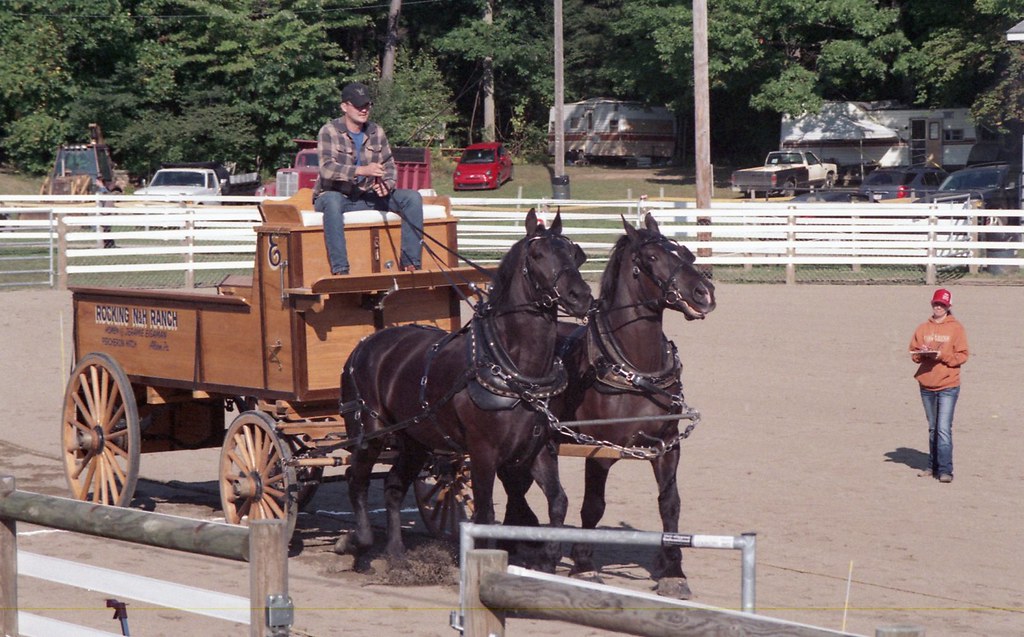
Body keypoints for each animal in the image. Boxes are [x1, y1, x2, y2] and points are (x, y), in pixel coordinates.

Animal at [335, 209, 593, 570]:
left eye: (574, 253)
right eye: (538, 255)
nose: (580, 296)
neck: (515, 369)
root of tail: (365, 344)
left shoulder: (539, 447)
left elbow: (558, 501)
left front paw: (547, 560)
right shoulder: (483, 452)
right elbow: (484, 514)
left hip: (415, 441)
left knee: (393, 486)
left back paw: (397, 553)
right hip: (368, 433)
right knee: (355, 480)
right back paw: (356, 543)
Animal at [552, 212, 716, 598]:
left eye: (684, 250)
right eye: (652, 258)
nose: (704, 293)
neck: (634, 370)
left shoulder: (667, 446)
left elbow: (670, 503)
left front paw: (673, 571)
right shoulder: (599, 449)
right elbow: (593, 506)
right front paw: (583, 563)